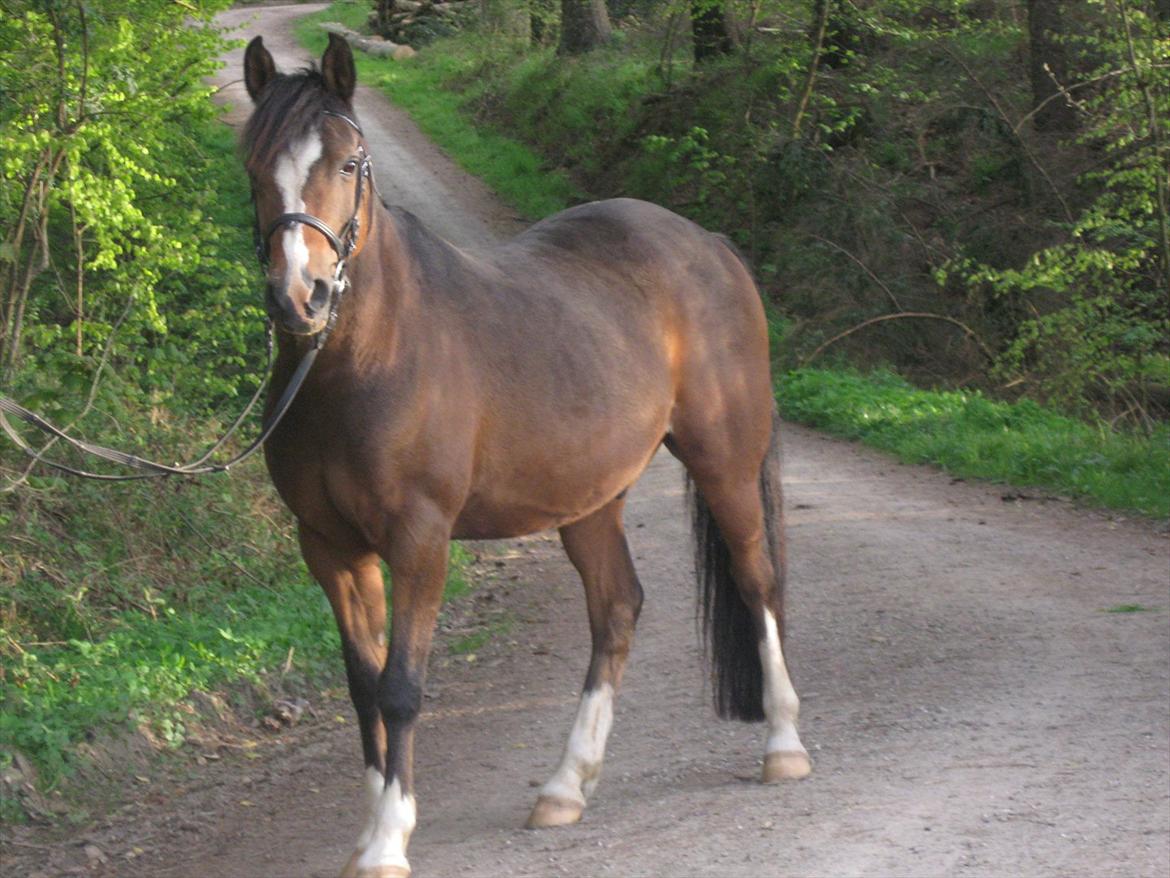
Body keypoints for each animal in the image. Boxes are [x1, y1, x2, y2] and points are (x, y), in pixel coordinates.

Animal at [242, 34, 809, 878]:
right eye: (253, 162)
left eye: (348, 163)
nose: (298, 296)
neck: (366, 360)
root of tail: (708, 245)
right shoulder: (331, 548)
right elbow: (362, 685)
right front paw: (369, 830)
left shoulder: (419, 541)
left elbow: (401, 687)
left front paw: (390, 838)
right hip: (591, 499)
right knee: (616, 609)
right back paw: (565, 788)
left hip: (725, 460)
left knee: (758, 579)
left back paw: (783, 745)